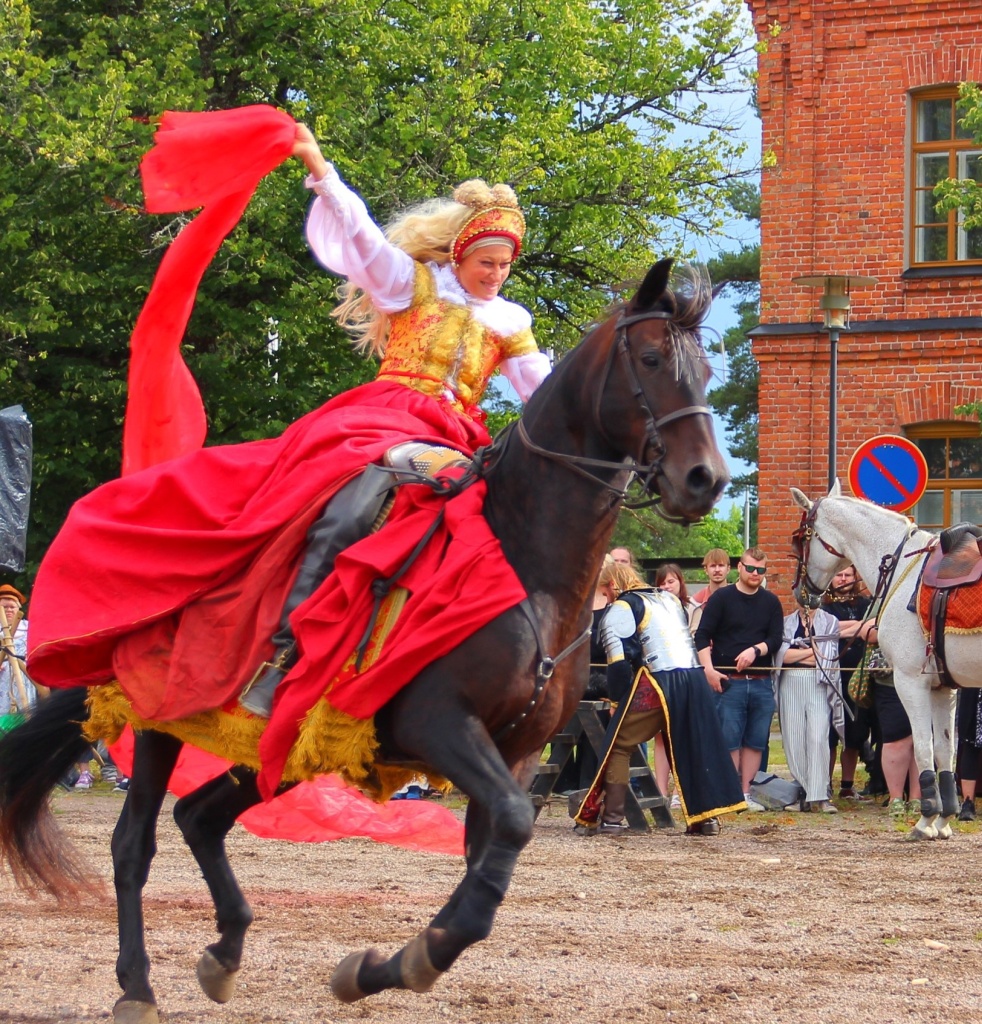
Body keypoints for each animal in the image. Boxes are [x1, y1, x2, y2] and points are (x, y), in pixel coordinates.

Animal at [0, 258, 728, 1024]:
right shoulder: (439, 724)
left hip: (282, 745)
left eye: (706, 370)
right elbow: (502, 841)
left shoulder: (515, 752)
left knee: (199, 817)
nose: (704, 479)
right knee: (133, 843)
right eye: (650, 359)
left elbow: (488, 873)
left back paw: (225, 953)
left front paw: (393, 965)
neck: (526, 566)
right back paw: (137, 985)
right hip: (162, 719)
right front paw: (405, 961)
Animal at [790, 483, 982, 841]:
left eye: (800, 540)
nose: (801, 592)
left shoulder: (910, 682)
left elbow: (921, 749)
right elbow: (944, 751)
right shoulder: (942, 688)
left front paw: (925, 819)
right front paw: (944, 819)